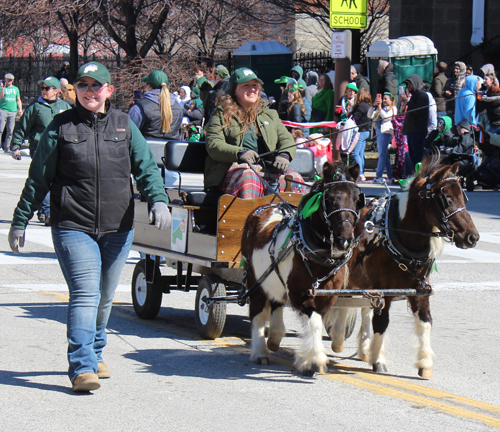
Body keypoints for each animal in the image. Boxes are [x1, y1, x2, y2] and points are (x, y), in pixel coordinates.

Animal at [241, 162, 364, 374]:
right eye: (329, 199)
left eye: (357, 200)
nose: (345, 241)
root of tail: (266, 207)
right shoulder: (299, 295)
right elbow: (313, 323)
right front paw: (314, 360)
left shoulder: (327, 296)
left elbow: (318, 321)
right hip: (255, 278)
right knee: (257, 312)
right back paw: (260, 352)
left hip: (275, 279)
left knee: (276, 302)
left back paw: (274, 337)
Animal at [324, 155, 480, 378]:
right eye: (447, 199)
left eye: (464, 199)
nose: (472, 237)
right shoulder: (384, 291)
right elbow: (381, 322)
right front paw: (379, 361)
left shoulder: (420, 289)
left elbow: (425, 321)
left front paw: (425, 363)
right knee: (345, 302)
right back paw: (338, 340)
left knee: (363, 308)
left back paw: (364, 348)